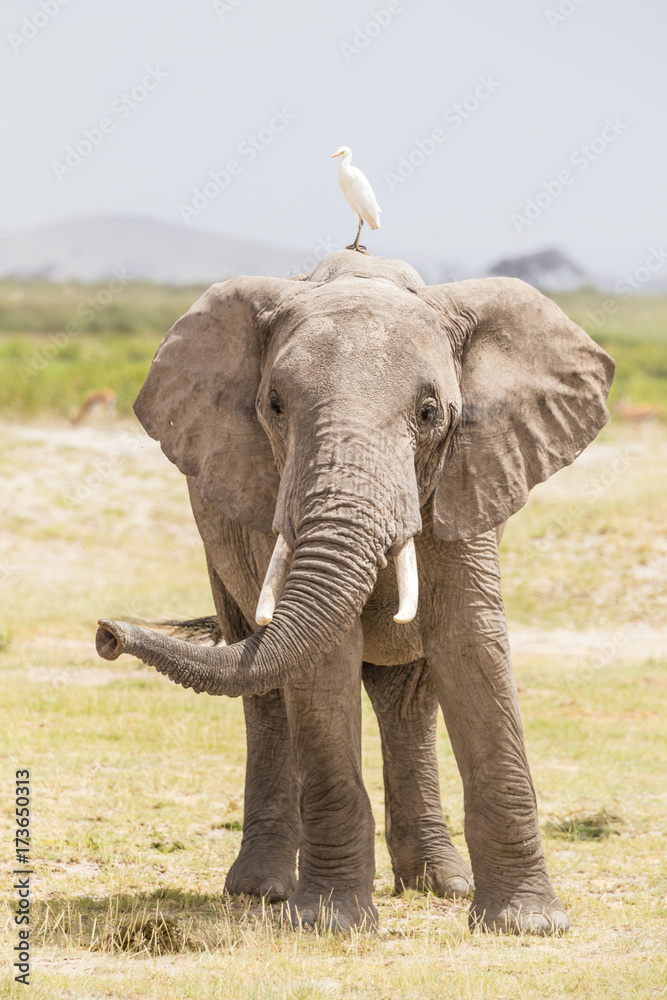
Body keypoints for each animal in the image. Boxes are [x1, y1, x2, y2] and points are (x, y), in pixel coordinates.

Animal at [96, 250, 614, 934]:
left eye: (430, 412)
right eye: (275, 406)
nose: (106, 633)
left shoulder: (469, 473)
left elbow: (470, 641)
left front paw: (526, 925)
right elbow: (323, 663)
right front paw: (331, 922)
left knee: (409, 696)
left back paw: (439, 884)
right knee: (263, 686)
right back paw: (262, 890)